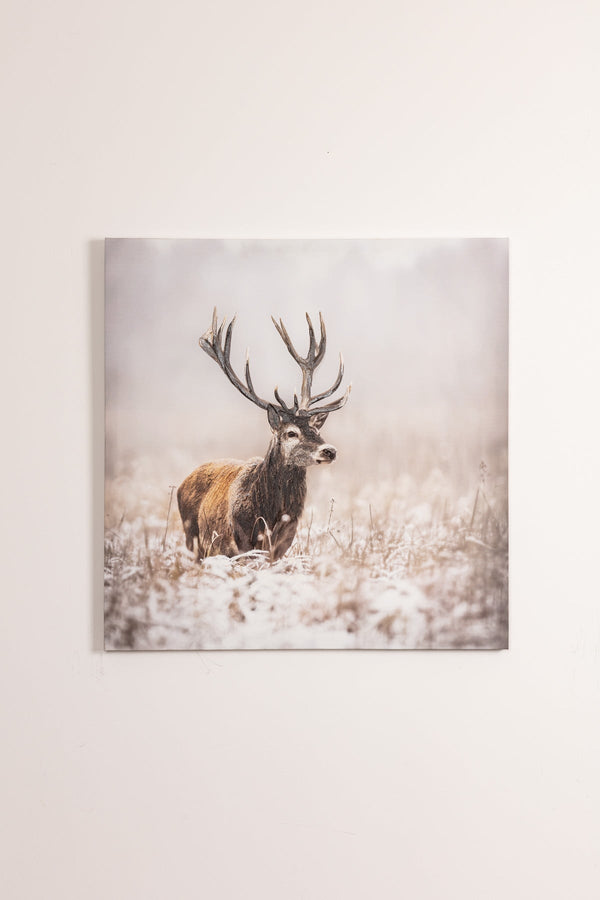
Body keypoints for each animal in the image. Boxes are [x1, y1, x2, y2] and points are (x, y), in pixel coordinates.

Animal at [177, 308, 350, 561]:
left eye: (317, 429)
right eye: (291, 433)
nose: (329, 451)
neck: (269, 516)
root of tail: (183, 483)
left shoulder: (281, 546)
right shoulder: (240, 545)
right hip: (193, 539)